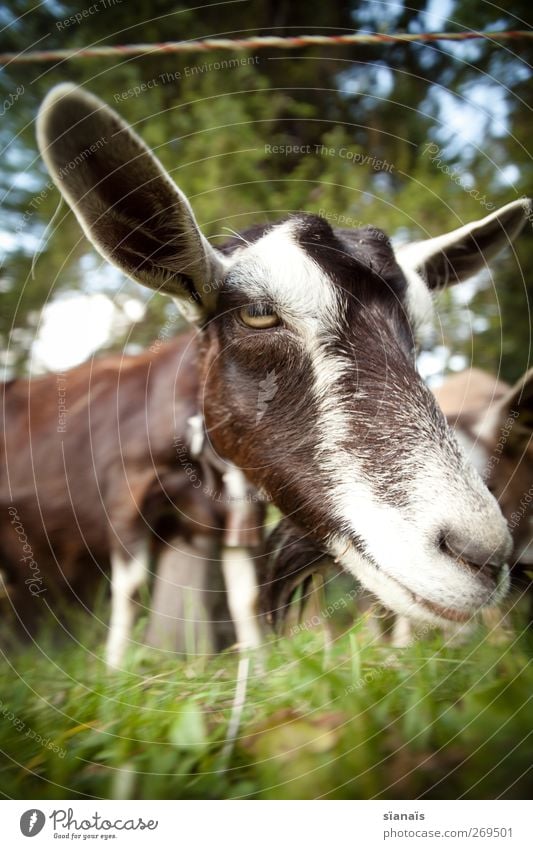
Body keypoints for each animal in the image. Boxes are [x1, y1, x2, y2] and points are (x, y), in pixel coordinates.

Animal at [34, 81, 528, 664]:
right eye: (258, 313)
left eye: (417, 331)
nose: (481, 555)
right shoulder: (125, 501)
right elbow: (129, 596)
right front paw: (117, 674)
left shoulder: (240, 506)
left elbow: (245, 597)